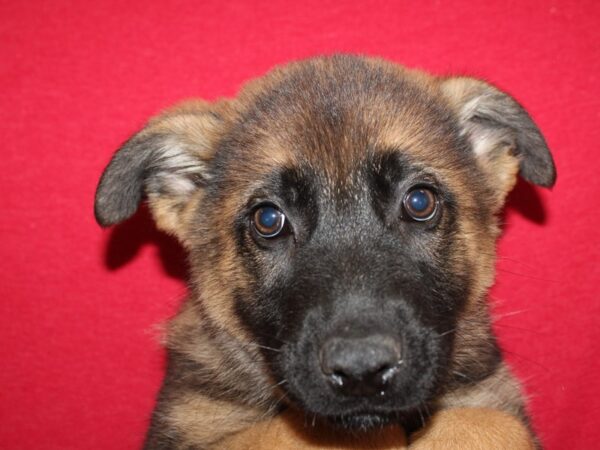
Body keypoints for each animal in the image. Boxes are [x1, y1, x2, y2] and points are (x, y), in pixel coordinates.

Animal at [95, 54, 556, 448]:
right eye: (269, 220)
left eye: (419, 201)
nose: (361, 371)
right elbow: (280, 436)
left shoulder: (489, 399)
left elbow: (486, 422)